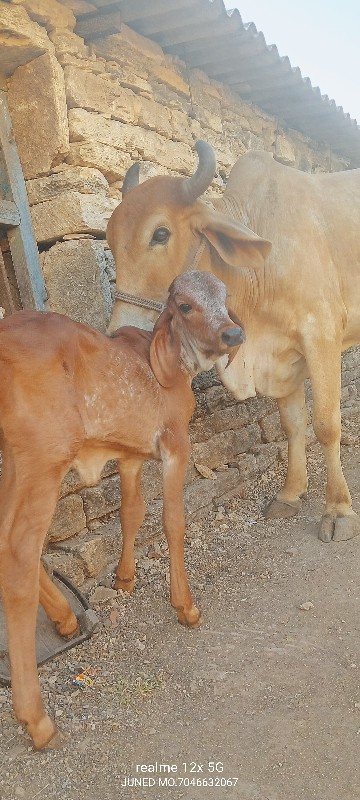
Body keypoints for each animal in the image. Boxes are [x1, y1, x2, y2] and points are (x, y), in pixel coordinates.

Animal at [0, 270, 243, 752]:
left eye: (225, 297)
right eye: (184, 305)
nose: (232, 333)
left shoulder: (130, 457)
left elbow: (130, 512)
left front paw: (124, 579)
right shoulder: (175, 442)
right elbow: (172, 521)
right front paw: (185, 607)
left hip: (16, 462)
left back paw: (65, 617)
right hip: (43, 461)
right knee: (18, 555)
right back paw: (36, 719)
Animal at [108, 142, 360, 544]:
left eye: (160, 234)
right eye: (110, 239)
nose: (120, 332)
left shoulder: (321, 335)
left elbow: (325, 425)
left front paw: (338, 510)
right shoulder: (283, 357)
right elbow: (293, 424)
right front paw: (290, 493)